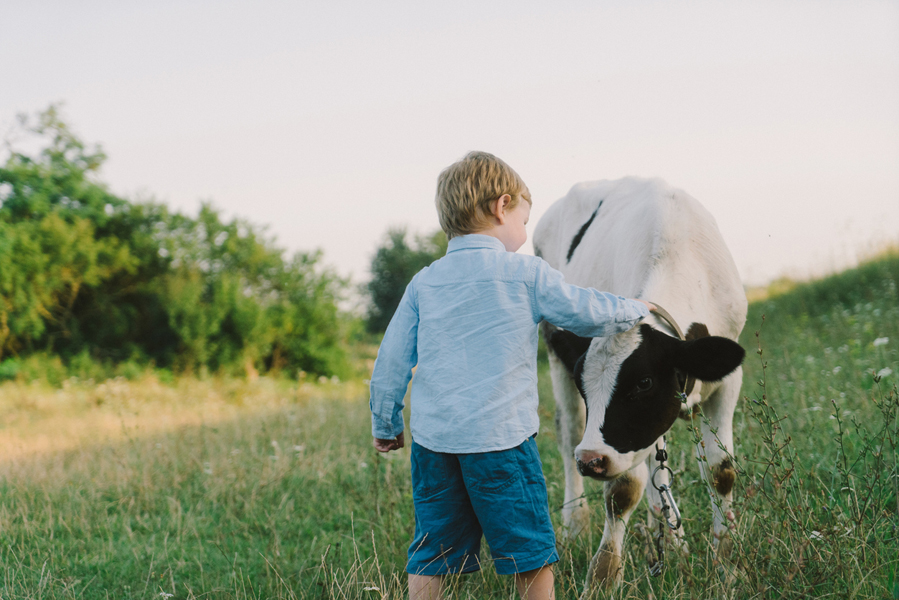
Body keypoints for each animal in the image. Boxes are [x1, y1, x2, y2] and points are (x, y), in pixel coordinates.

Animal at [532, 176, 748, 592]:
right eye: (585, 385)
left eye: (644, 382)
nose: (591, 460)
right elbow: (623, 488)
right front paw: (602, 578)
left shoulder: (727, 381)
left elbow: (721, 471)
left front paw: (726, 565)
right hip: (552, 349)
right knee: (570, 434)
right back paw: (575, 524)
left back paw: (669, 541)